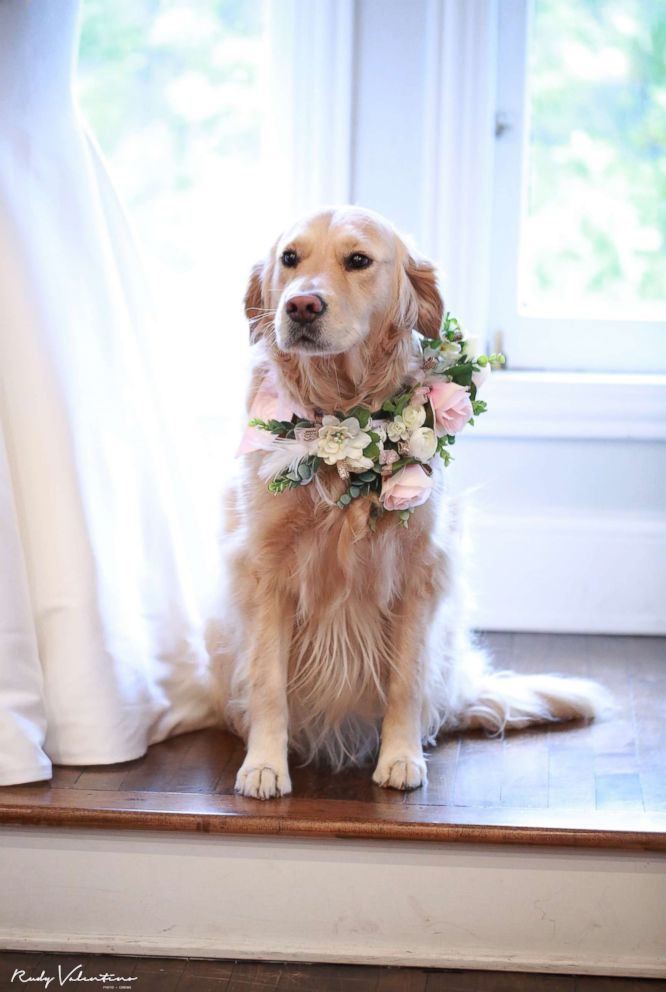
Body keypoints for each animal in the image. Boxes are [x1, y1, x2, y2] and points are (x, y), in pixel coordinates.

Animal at [208, 203, 608, 800]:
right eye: (289, 258)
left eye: (358, 260)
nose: (301, 305)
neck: (340, 406)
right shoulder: (265, 572)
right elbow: (267, 680)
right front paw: (264, 765)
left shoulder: (419, 571)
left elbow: (404, 681)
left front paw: (400, 758)